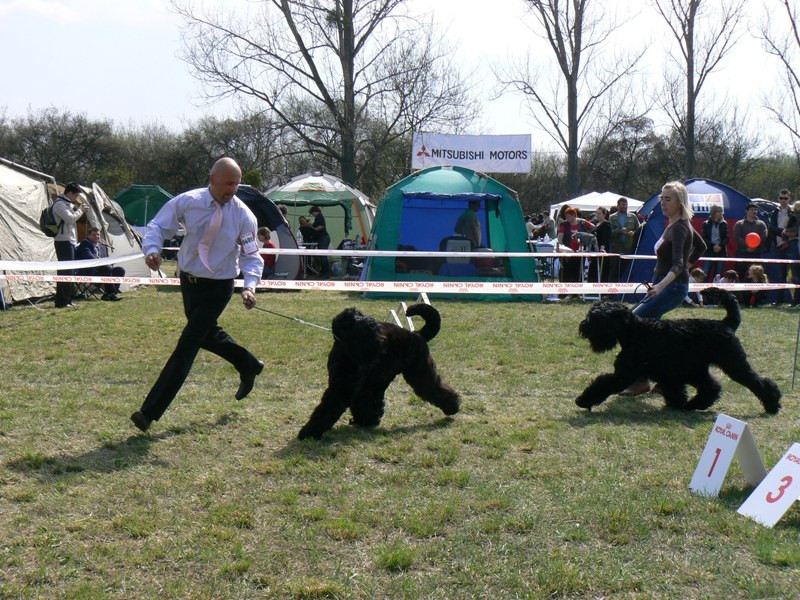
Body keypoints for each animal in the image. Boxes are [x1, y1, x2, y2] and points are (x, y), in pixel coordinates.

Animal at [298, 302, 462, 438]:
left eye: (375, 327)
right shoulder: (355, 385)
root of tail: (417, 334)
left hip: (420, 372)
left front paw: (308, 432)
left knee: (436, 389)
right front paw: (366, 419)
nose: (381, 343)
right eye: (365, 329)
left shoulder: (342, 388)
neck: (345, 349)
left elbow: (327, 408)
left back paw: (453, 406)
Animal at [576, 290, 780, 412]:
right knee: (711, 386)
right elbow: (673, 389)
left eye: (596, 317)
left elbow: (603, 383)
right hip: (697, 370)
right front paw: (676, 403)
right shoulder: (669, 373)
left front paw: (583, 400)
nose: (583, 326)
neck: (635, 331)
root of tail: (726, 324)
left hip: (733, 364)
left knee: (757, 381)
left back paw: (773, 404)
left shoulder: (624, 374)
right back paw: (694, 405)